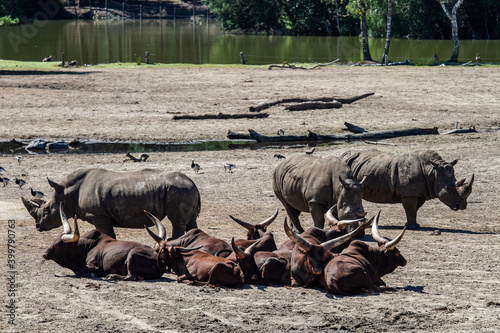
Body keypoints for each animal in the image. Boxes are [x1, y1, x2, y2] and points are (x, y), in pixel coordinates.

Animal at [21, 167, 201, 237]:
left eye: (46, 210)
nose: (38, 226)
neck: (66, 193)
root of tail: (193, 183)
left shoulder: (99, 215)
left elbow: (107, 235)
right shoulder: (99, 215)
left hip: (179, 190)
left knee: (177, 222)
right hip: (185, 190)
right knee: (191, 223)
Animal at [342, 150, 474, 230]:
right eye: (447, 188)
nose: (461, 206)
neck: (432, 172)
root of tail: (342, 155)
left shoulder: (419, 193)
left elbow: (414, 209)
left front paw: (414, 225)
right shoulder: (409, 193)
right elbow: (410, 209)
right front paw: (413, 227)